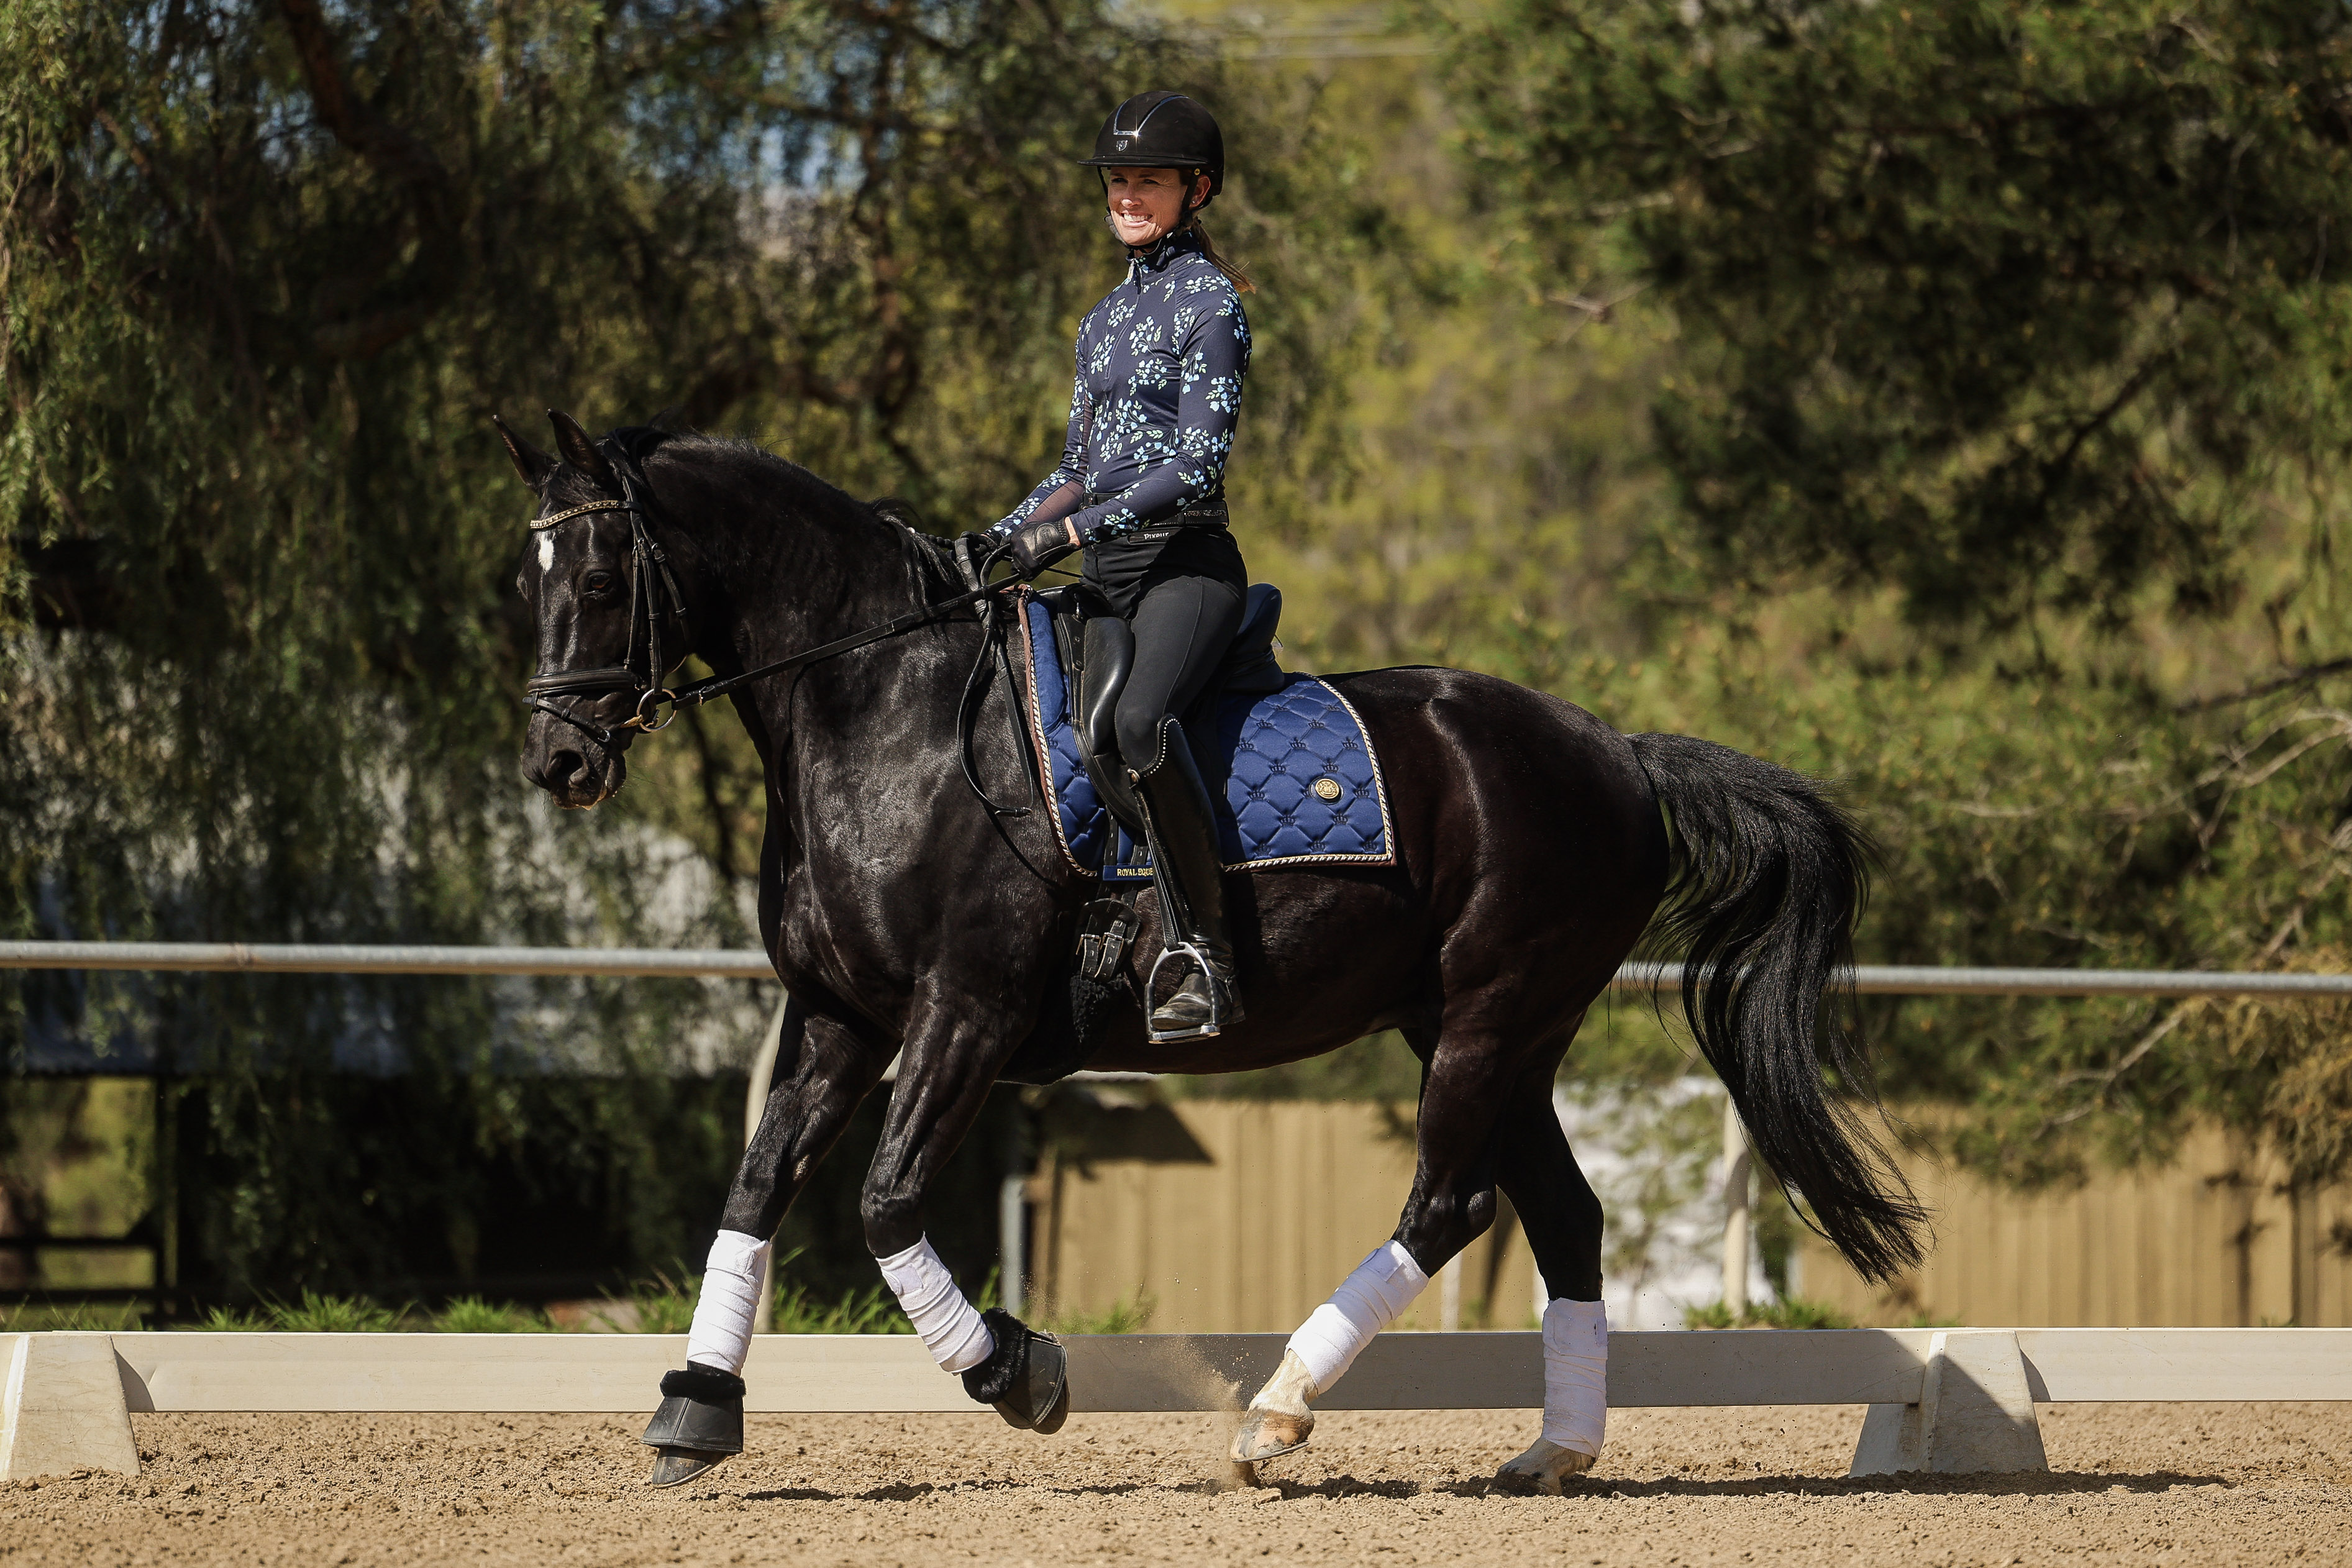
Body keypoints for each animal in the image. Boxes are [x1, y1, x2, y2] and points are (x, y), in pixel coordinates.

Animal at [500, 411, 1923, 1494]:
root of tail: (1618, 752)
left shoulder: (965, 1008)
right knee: (1563, 1212)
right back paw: (1550, 1452)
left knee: (1449, 1204)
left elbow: (886, 1200)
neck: (883, 707)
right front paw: (694, 1409)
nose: (559, 763)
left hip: (1491, 1012)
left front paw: (1021, 1371)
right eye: (527, 583)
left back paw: (1273, 1415)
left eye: (604, 579)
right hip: (1494, 1028)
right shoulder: (838, 1012)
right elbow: (754, 1189)